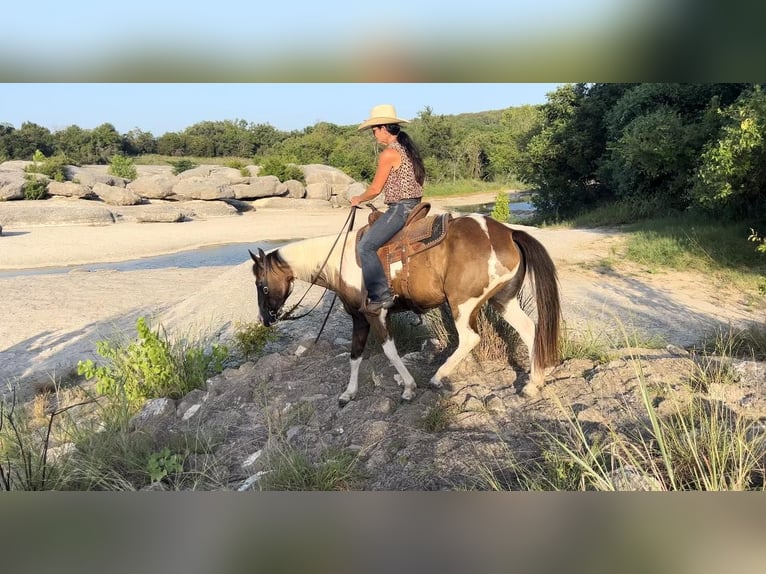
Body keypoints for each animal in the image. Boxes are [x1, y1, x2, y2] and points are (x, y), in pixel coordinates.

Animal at [249, 207, 560, 410]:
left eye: (261, 285)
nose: (265, 319)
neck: (340, 262)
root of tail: (508, 232)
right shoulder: (359, 319)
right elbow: (355, 355)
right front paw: (348, 394)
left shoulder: (375, 314)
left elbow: (389, 350)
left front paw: (409, 388)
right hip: (503, 300)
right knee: (529, 329)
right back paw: (533, 384)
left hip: (462, 302)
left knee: (470, 338)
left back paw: (437, 377)